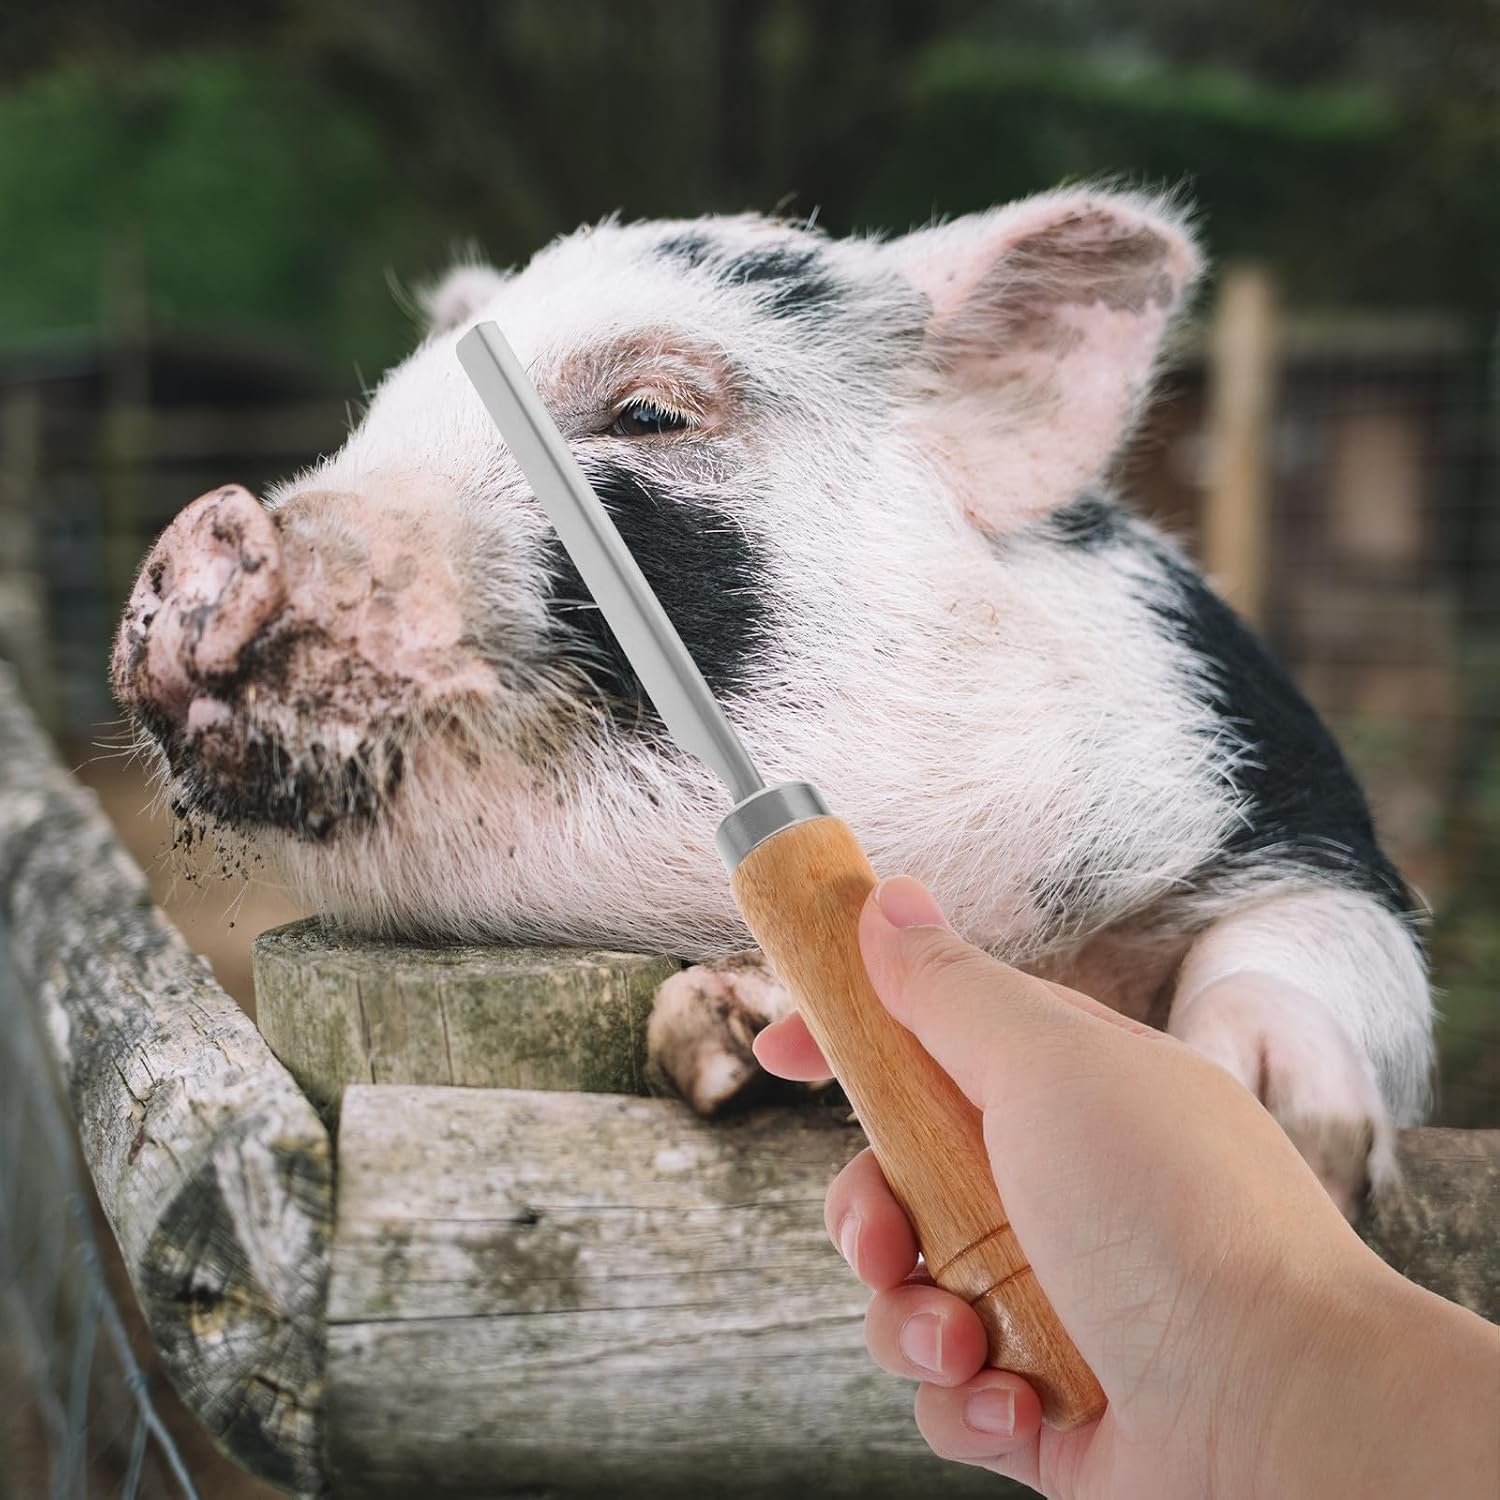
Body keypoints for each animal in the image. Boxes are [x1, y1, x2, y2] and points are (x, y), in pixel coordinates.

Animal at [112, 188, 1433, 1220]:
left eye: (650, 413)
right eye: (379, 414)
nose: (207, 527)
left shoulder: (1282, 796)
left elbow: (1327, 944)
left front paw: (1263, 1116)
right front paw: (755, 1043)